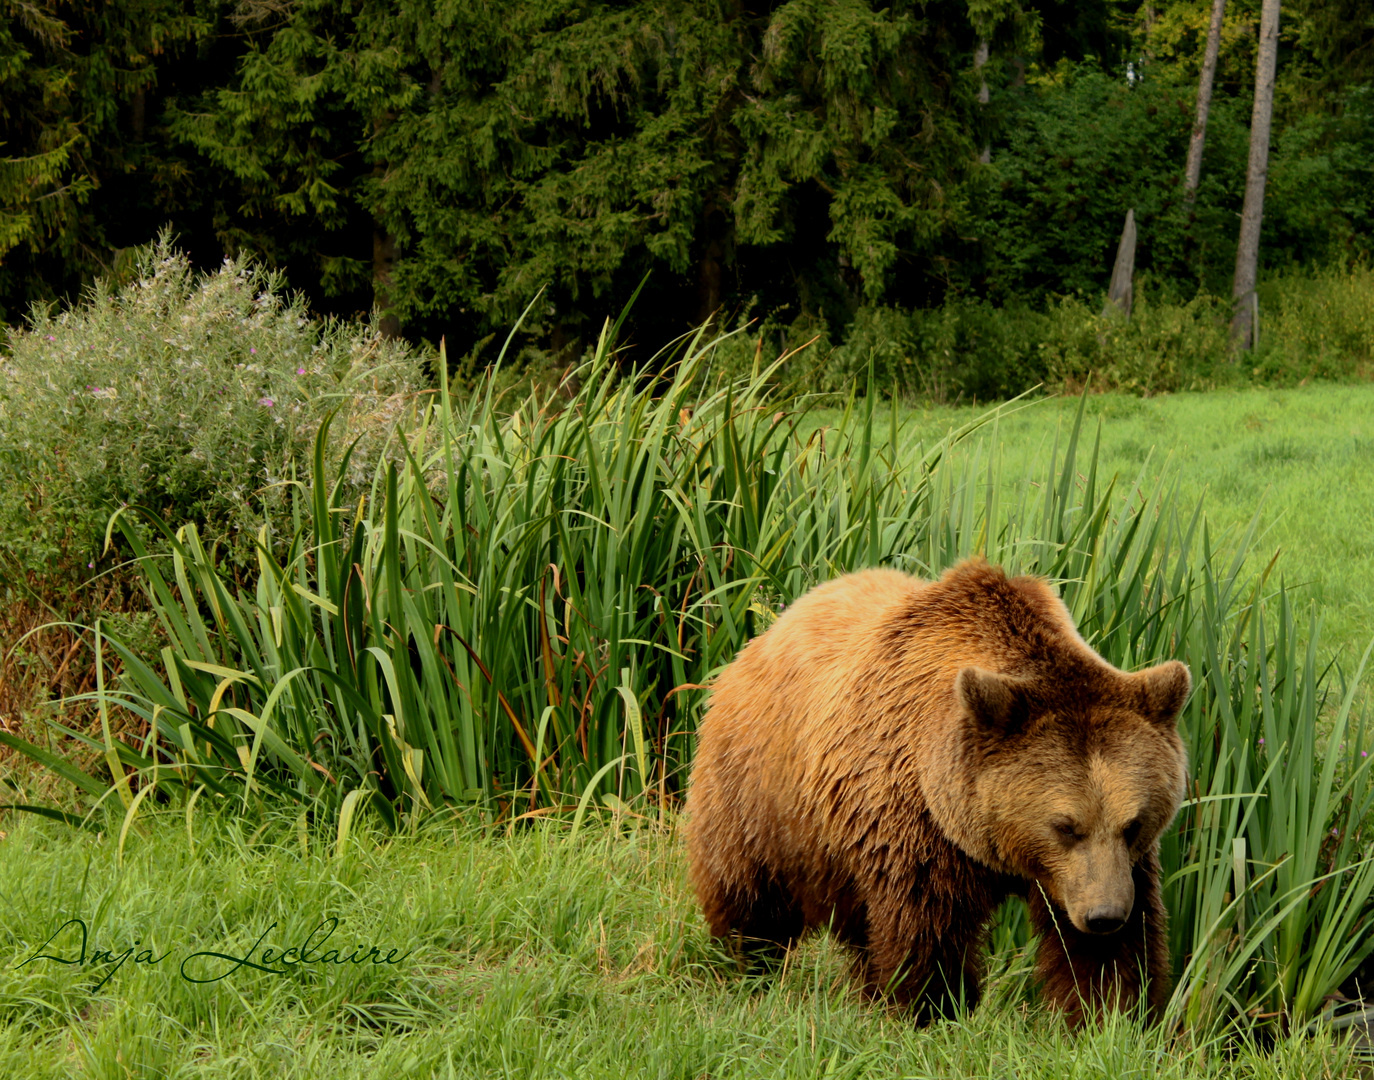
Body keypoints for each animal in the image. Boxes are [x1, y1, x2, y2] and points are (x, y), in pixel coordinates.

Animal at [687, 560, 1192, 1022]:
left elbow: (1116, 951)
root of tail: (770, 630)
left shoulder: (1112, 869)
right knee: (749, 896)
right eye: (1065, 826)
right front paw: (931, 1008)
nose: (1103, 916)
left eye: (1134, 824)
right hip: (761, 792)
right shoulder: (918, 823)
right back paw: (746, 968)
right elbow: (926, 930)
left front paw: (1109, 1014)